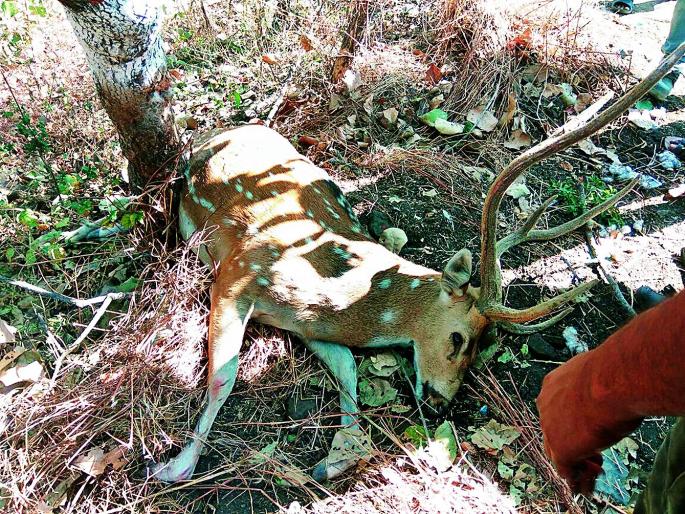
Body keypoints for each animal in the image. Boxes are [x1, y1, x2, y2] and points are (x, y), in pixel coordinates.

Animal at [152, 47, 685, 483]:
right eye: (459, 339)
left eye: (481, 349)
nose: (443, 400)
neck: (331, 290)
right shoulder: (241, 269)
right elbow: (224, 375)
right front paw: (175, 466)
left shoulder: (308, 325)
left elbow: (348, 371)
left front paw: (338, 457)